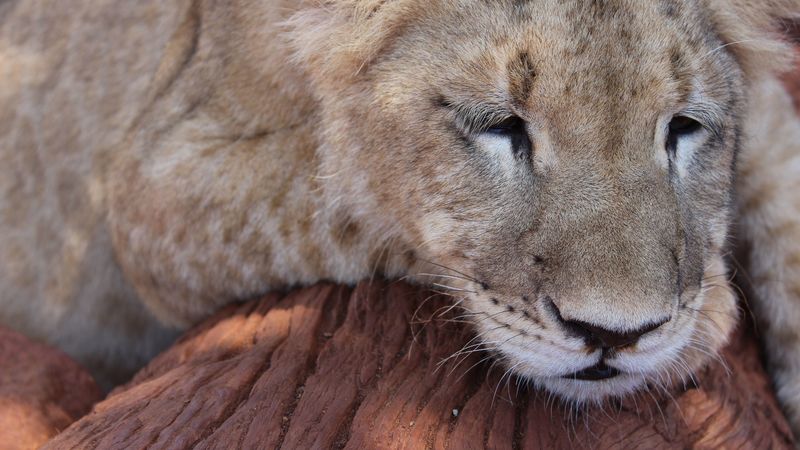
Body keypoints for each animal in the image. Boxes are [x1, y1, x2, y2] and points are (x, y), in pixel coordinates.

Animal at [3, 0, 800, 437]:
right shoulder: (153, 184)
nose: (617, 336)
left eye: (684, 127)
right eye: (500, 125)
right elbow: (351, 181)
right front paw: (707, 315)